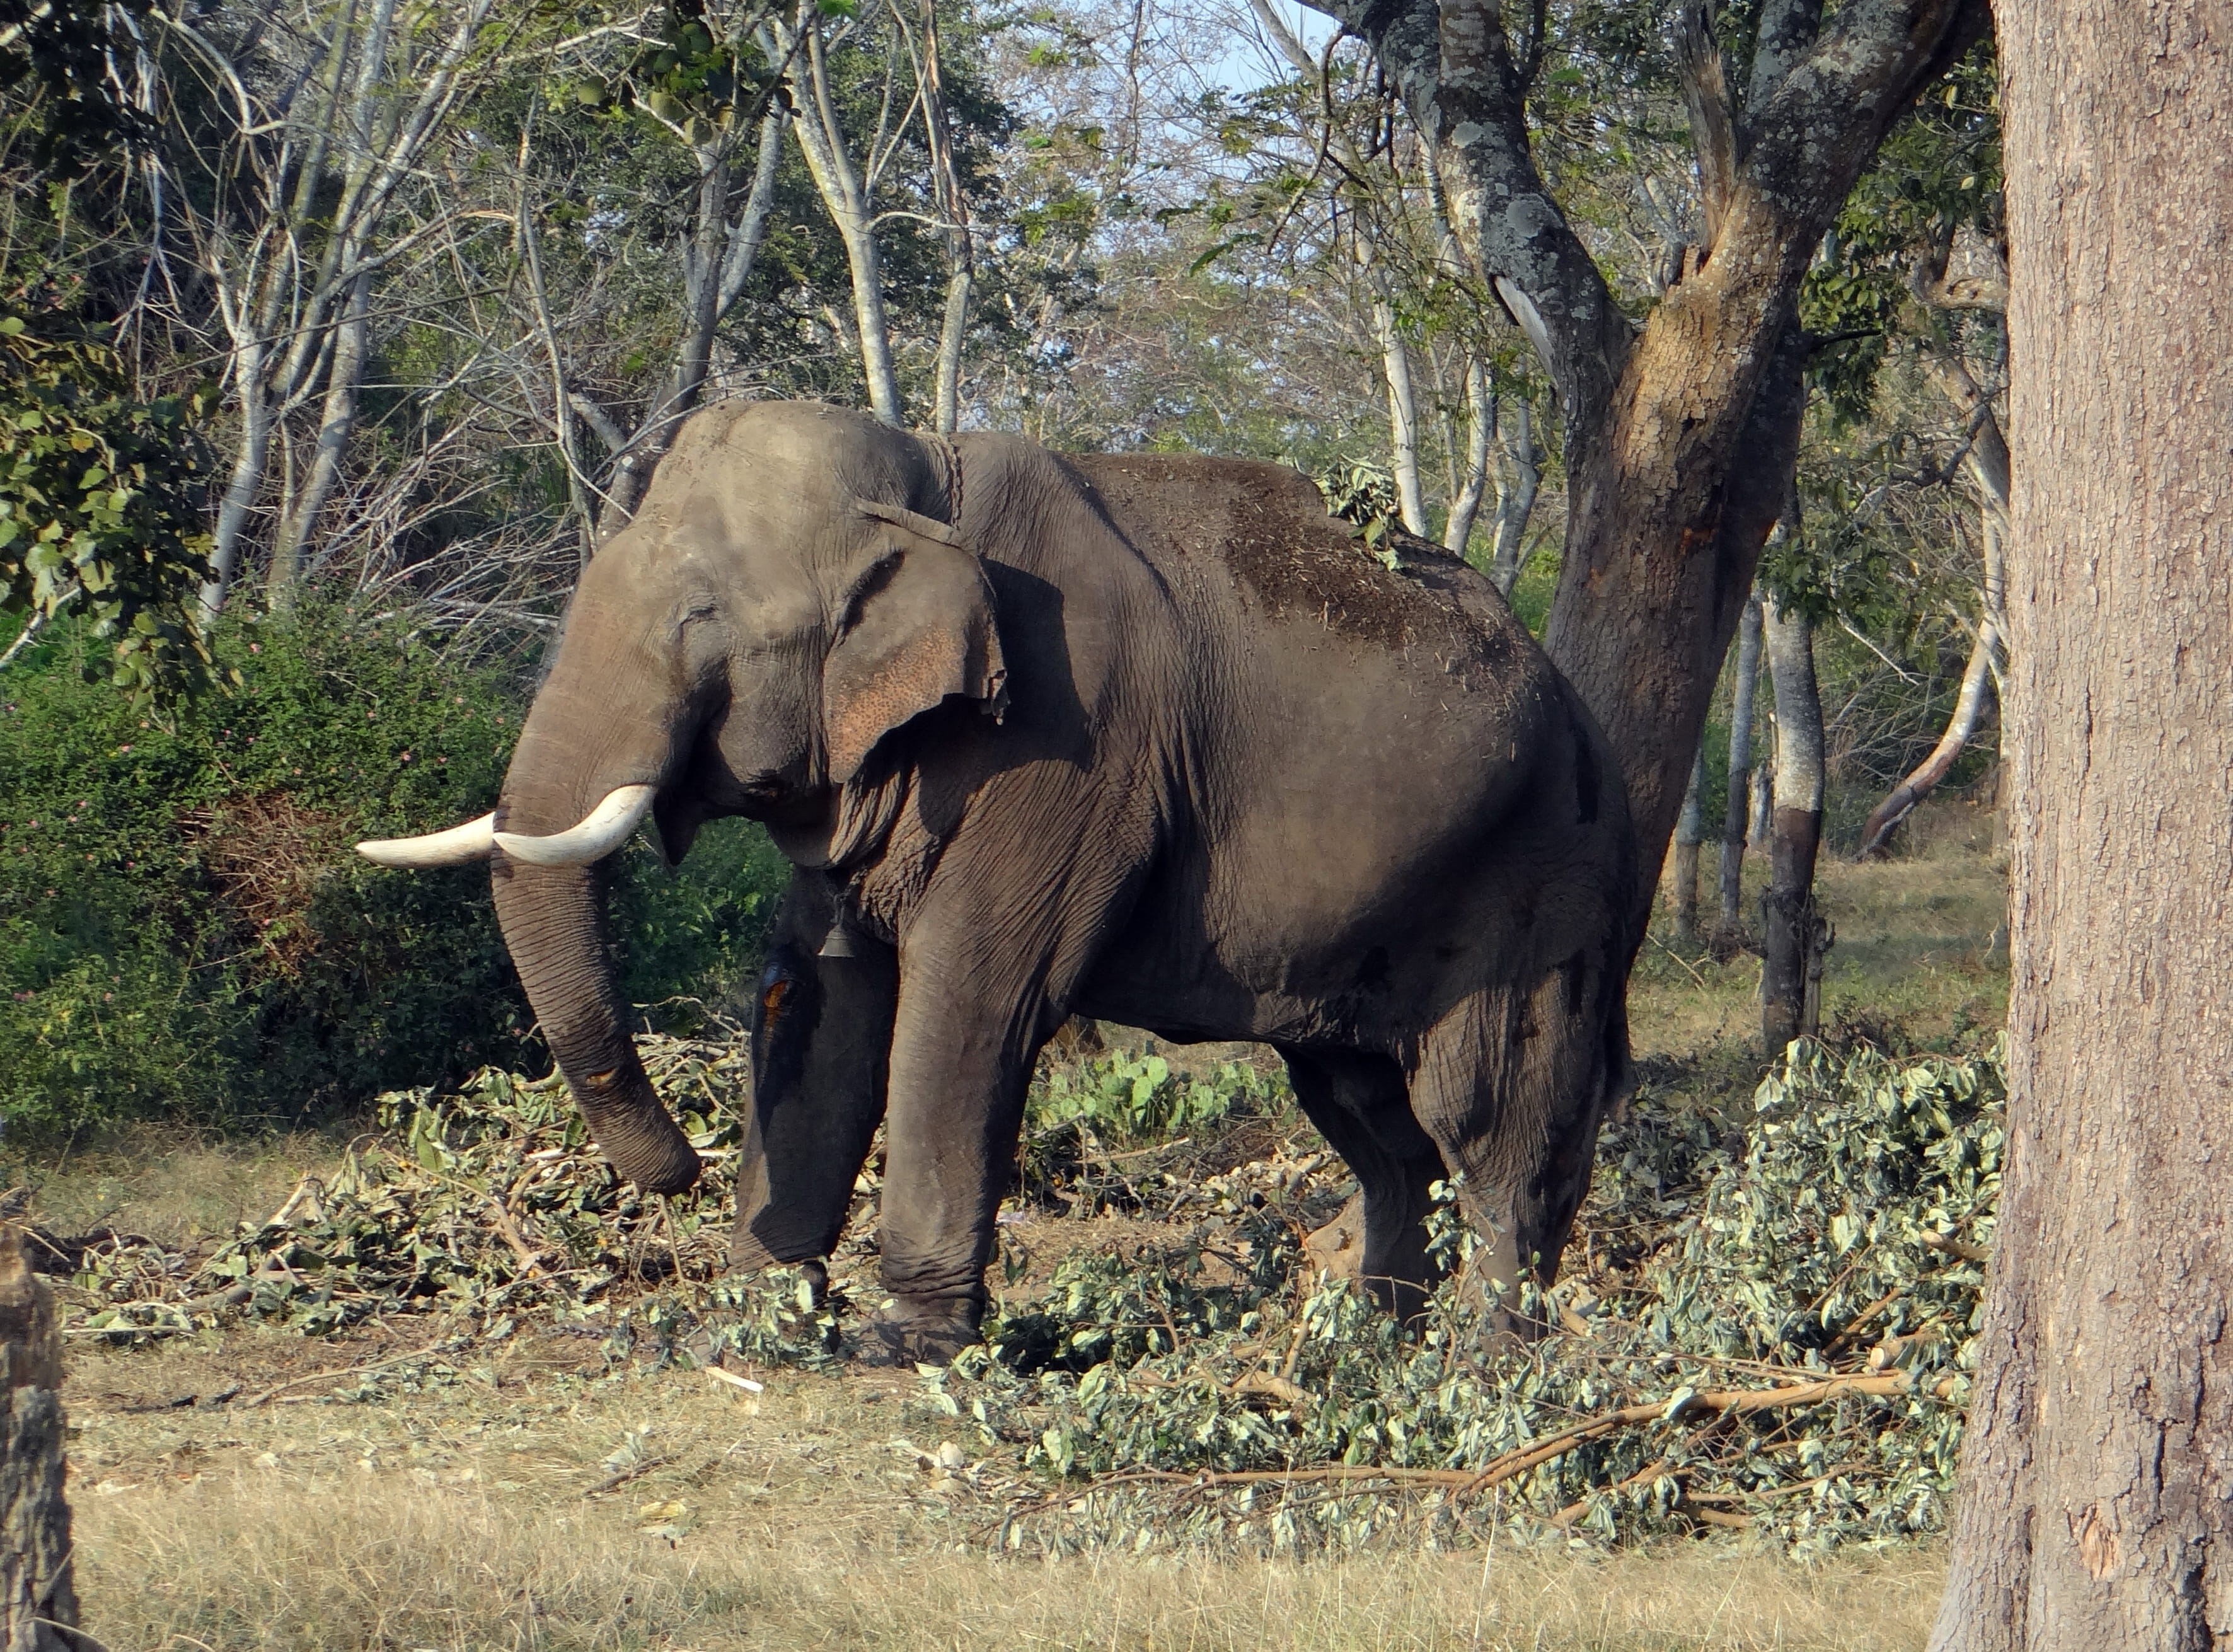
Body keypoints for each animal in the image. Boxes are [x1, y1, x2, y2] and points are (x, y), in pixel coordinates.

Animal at [359, 399, 1639, 1362]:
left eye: (703, 621)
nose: (677, 1173)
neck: (929, 475)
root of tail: (1583, 715)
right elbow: (824, 995)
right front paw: (755, 1324)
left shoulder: (1067, 747)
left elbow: (969, 996)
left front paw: (901, 1347)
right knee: (1372, 1122)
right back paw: (1367, 1348)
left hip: (1544, 880)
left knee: (1488, 1120)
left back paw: (1485, 1364)